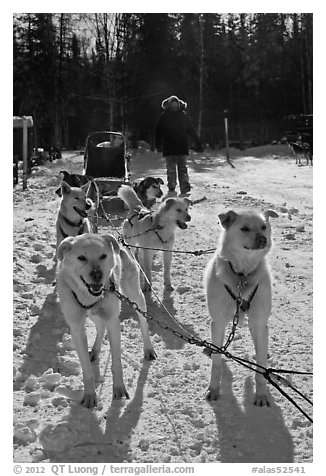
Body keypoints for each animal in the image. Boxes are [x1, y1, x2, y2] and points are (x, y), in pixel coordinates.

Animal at [56, 232, 157, 408]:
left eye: (103, 255)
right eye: (81, 257)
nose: (97, 274)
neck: (88, 296)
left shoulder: (113, 322)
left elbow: (116, 362)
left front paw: (119, 389)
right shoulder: (76, 327)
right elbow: (86, 369)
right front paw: (90, 395)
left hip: (136, 297)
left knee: (143, 324)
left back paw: (148, 349)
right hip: (93, 314)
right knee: (100, 327)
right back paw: (95, 351)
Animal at [204, 208, 278, 406]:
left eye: (263, 227)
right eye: (244, 228)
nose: (262, 239)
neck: (242, 277)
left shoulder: (260, 323)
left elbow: (261, 366)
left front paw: (261, 394)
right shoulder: (218, 323)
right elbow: (217, 364)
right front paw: (214, 389)